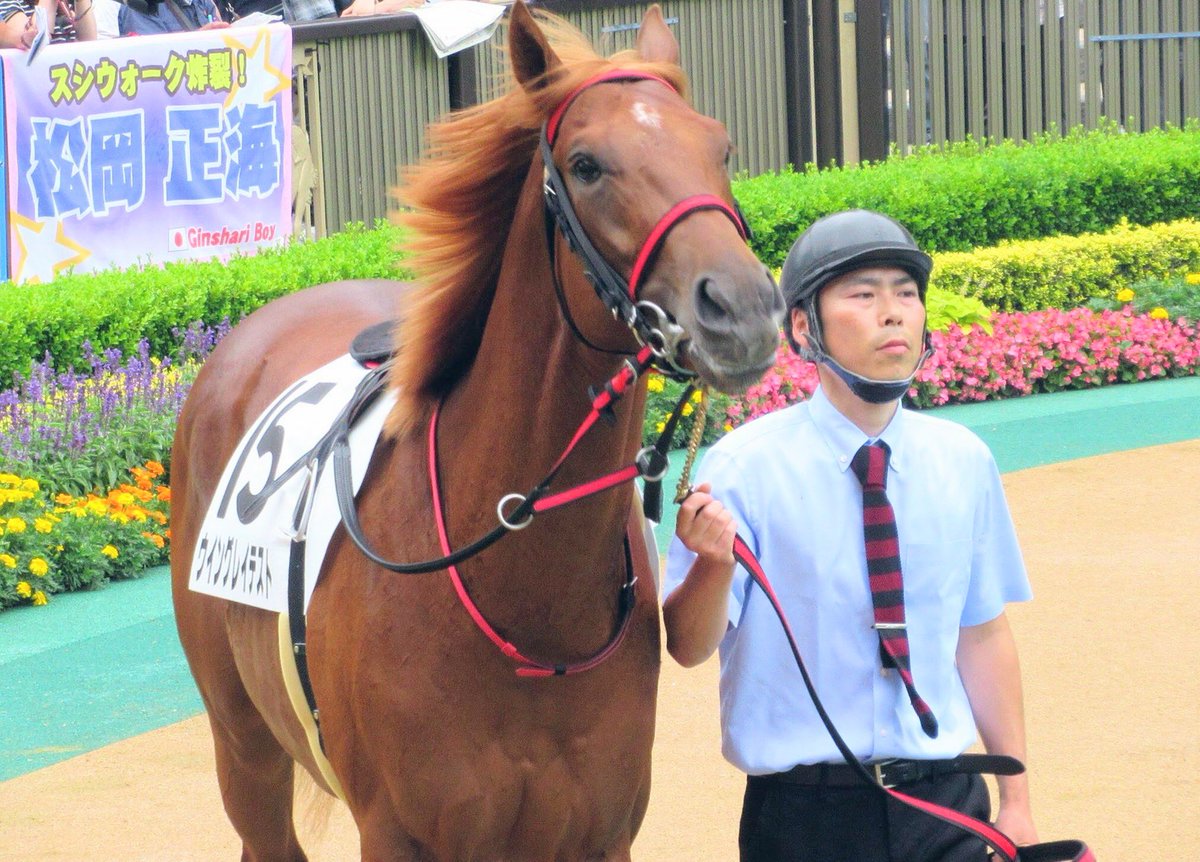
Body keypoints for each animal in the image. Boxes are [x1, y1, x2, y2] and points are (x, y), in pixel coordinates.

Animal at [169, 3, 784, 859]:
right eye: (587, 165)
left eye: (718, 146)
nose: (742, 308)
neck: (524, 601)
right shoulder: (398, 832)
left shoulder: (603, 833)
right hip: (244, 746)